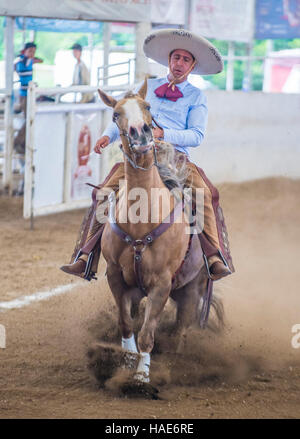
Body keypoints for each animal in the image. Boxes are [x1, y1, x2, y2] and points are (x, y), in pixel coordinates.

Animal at [98, 80, 218, 384]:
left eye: (148, 107)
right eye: (115, 114)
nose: (140, 133)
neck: (141, 221)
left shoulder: (162, 283)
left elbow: (147, 334)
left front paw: (141, 377)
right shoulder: (115, 275)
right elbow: (126, 323)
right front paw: (127, 362)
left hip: (192, 290)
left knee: (180, 331)